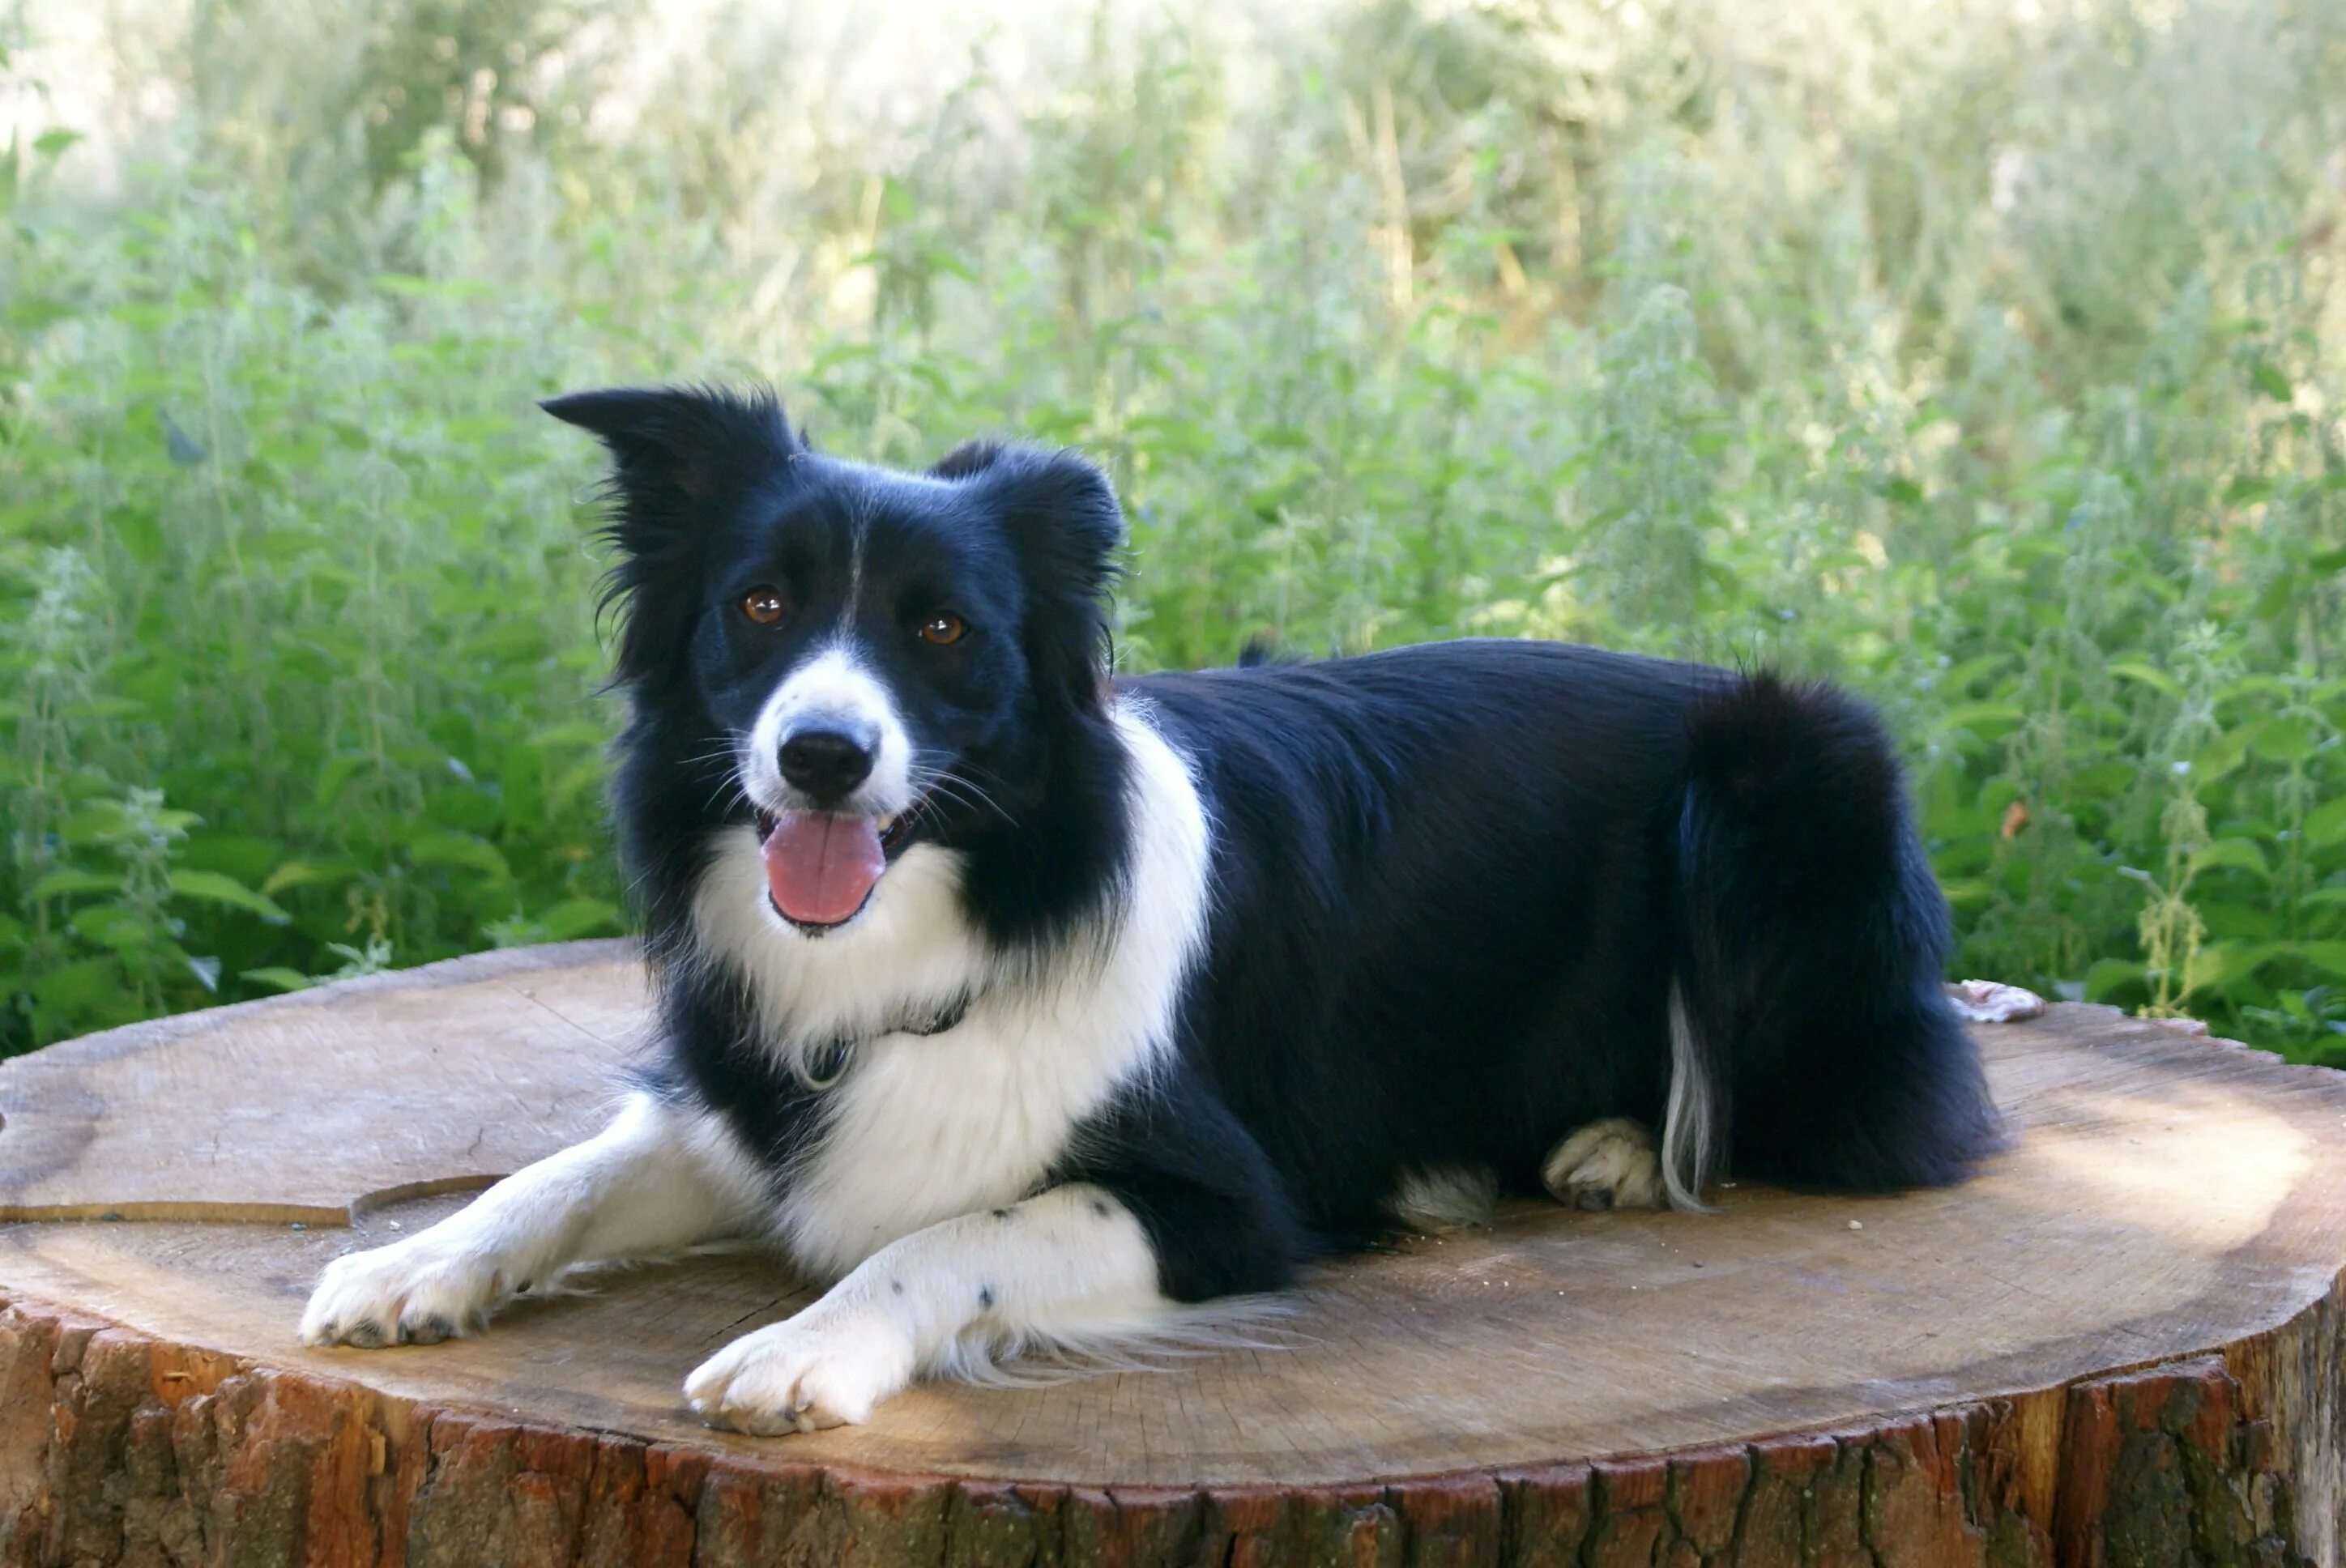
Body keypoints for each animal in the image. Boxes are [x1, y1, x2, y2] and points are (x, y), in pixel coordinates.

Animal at [307, 381, 1998, 1434]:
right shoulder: (760, 1113)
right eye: (760, 605)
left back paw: (1624, 1148)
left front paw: (803, 1348)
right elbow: (566, 1170)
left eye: (943, 629)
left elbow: (947, 1239)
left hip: (1786, 784)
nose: (822, 754)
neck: (946, 928)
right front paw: (409, 1262)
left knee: (1855, 1108)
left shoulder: (1225, 1203)